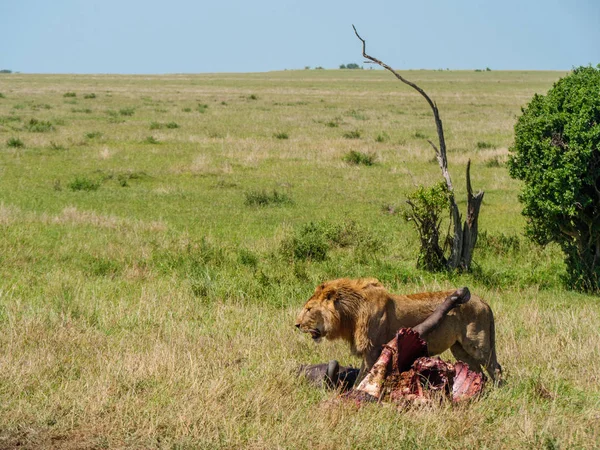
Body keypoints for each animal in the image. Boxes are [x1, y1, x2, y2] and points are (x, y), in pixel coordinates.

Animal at [296, 280, 502, 382]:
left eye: (308, 309)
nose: (296, 325)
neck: (350, 314)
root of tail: (483, 301)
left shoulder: (373, 350)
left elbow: (366, 374)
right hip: (459, 349)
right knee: (478, 371)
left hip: (478, 345)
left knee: (495, 367)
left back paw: (499, 390)